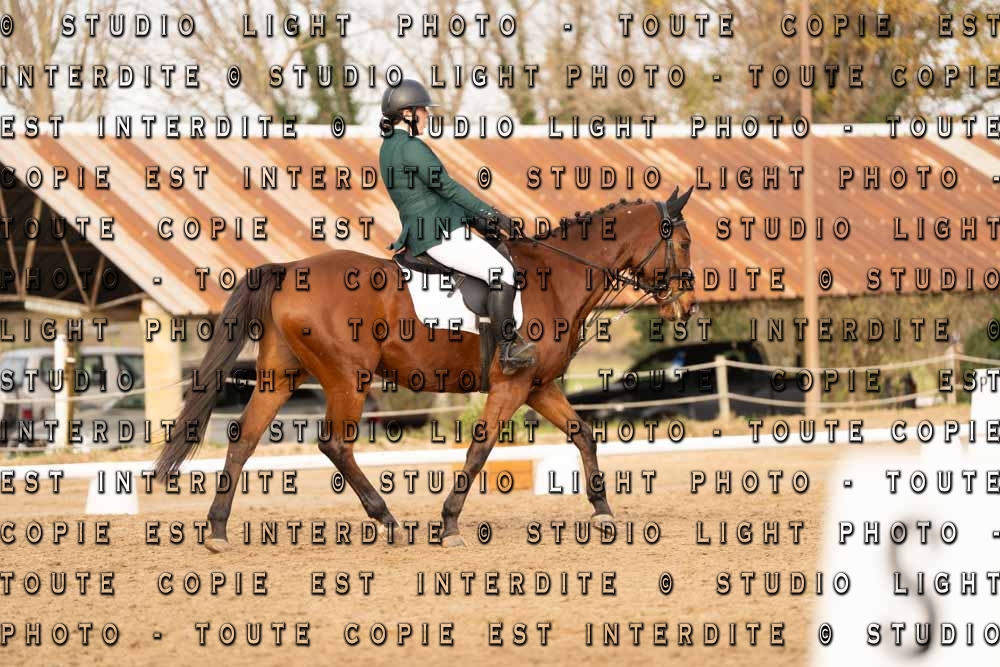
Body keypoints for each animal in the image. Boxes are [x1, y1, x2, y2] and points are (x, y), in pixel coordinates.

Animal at [153, 186, 698, 550]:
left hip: (281, 375)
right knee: (334, 444)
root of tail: (290, 270)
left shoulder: (539, 386)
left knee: (244, 437)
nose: (687, 306)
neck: (556, 276)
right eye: (686, 241)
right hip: (348, 378)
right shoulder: (513, 384)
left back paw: (218, 530)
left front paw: (604, 513)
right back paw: (388, 521)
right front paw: (450, 523)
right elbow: (480, 450)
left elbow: (583, 433)